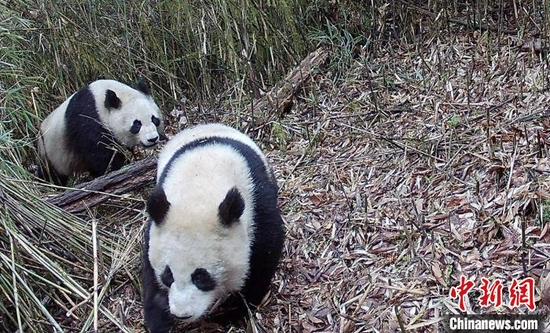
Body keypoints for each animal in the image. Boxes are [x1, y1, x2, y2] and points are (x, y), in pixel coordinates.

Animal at [142, 123, 286, 330]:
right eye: (168, 274)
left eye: (201, 276)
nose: (182, 314)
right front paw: (158, 318)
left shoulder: (257, 201)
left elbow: (264, 255)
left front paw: (228, 313)